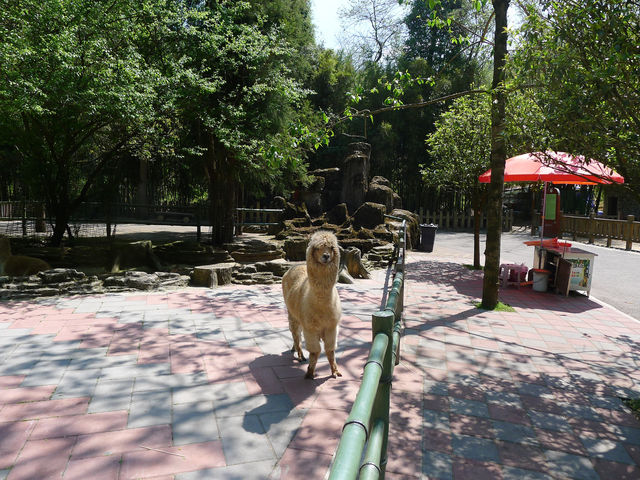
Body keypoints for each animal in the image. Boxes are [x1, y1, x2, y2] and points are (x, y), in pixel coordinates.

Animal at [282, 230, 340, 378]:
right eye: (317, 247)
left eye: (331, 247)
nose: (326, 256)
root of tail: (295, 266)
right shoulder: (311, 328)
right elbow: (315, 351)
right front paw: (309, 372)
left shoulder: (331, 326)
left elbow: (330, 350)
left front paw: (335, 371)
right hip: (292, 312)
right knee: (295, 332)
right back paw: (300, 355)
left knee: (296, 332)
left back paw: (294, 349)